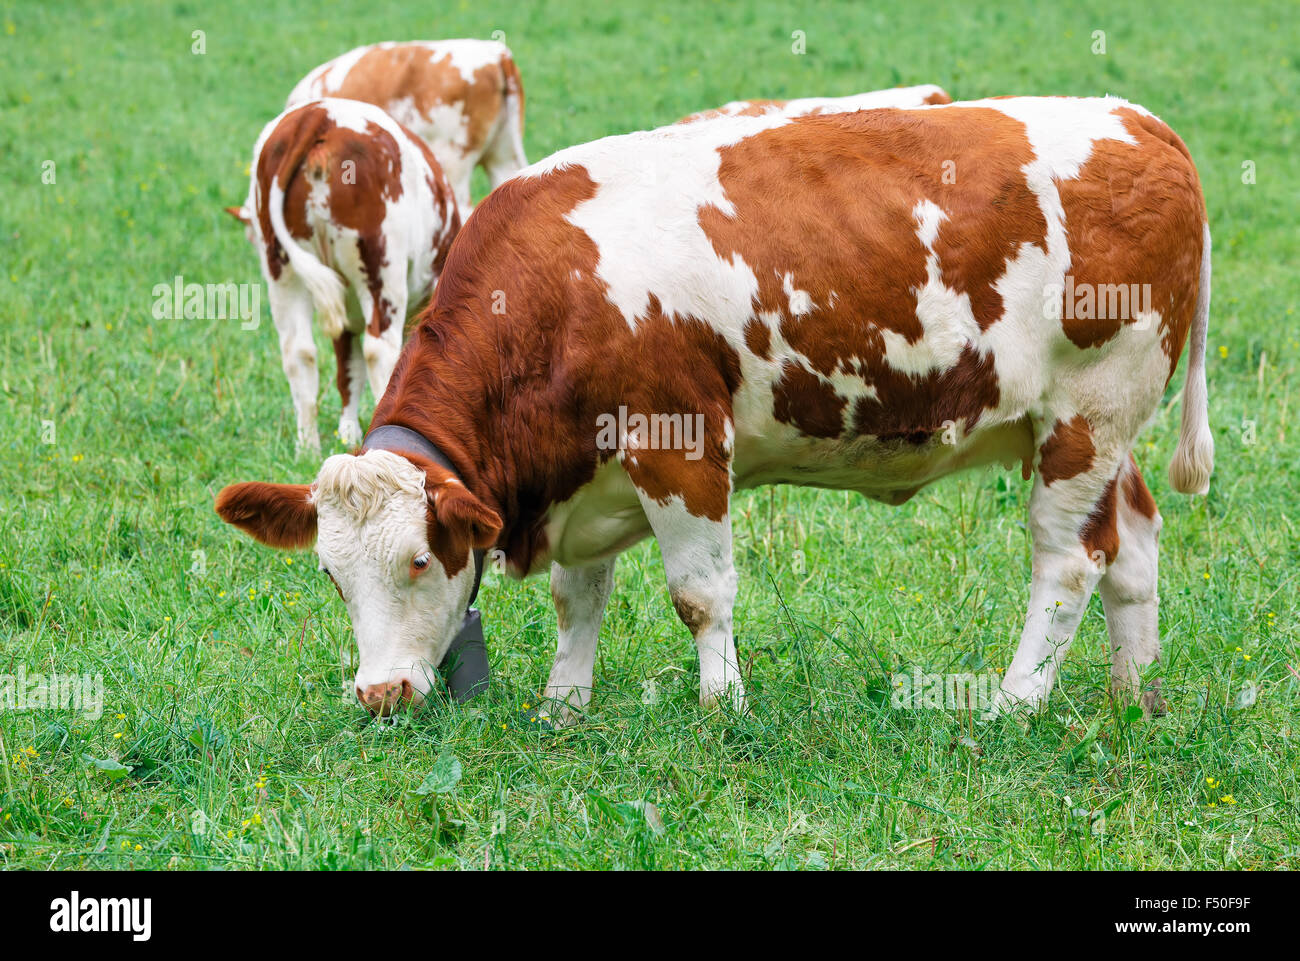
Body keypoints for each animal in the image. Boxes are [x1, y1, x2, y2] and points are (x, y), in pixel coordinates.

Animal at [226, 97, 460, 455]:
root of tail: (318, 114)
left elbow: (348, 370)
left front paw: (347, 433)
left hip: (283, 272)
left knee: (299, 352)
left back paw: (308, 447)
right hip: (381, 270)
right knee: (379, 351)